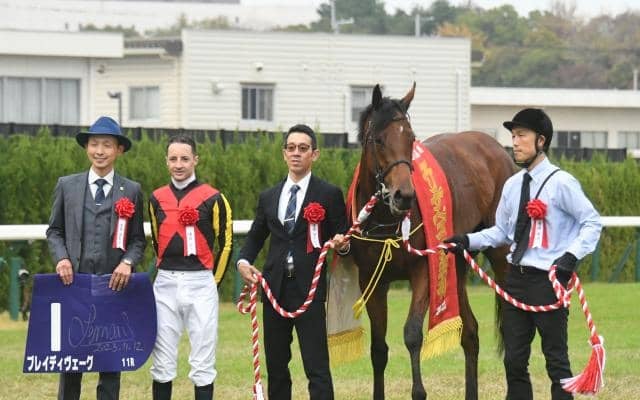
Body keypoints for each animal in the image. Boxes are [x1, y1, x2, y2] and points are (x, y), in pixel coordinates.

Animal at [349, 83, 517, 400]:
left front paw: (419, 391)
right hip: (457, 261)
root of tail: (495, 148)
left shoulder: (424, 271)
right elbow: (378, 348)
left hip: (500, 254)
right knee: (470, 333)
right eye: (378, 139)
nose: (404, 195)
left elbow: (413, 334)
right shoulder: (371, 280)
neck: (387, 222)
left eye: (411, 138)